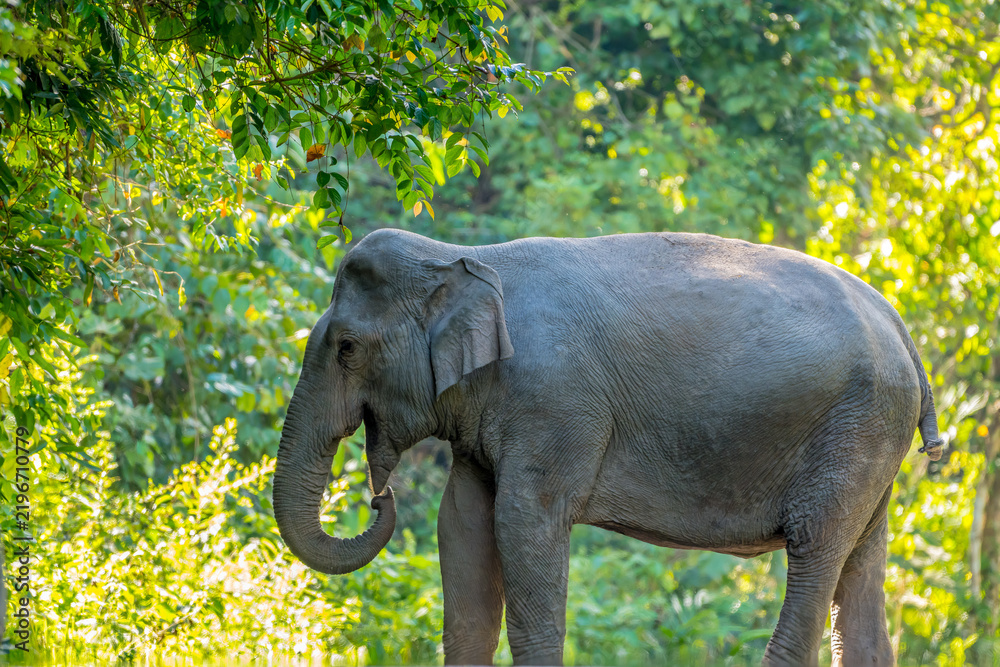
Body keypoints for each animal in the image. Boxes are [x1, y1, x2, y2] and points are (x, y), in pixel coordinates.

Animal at [271, 228, 944, 667]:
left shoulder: (554, 404)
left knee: (814, 552)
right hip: (871, 444)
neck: (462, 256)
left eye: (347, 348)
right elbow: (460, 525)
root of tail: (900, 325)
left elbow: (524, 524)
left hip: (855, 429)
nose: (378, 498)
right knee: (860, 571)